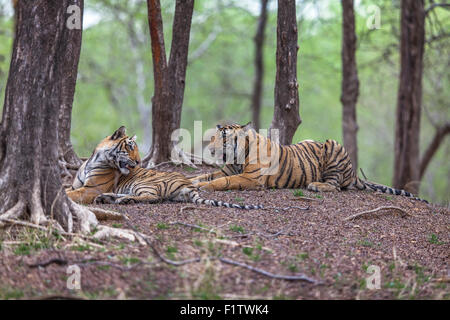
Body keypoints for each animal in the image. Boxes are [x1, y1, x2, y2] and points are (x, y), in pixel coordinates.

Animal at [67, 126, 264, 209]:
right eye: (130, 147)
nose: (138, 162)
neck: (95, 158)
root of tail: (189, 185)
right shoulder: (78, 185)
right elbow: (68, 189)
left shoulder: (91, 188)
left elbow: (71, 194)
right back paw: (107, 198)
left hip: (143, 184)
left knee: (152, 197)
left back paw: (121, 200)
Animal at [190, 121, 428, 204]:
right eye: (213, 137)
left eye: (223, 137)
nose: (210, 149)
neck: (238, 156)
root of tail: (353, 173)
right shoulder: (226, 170)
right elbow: (204, 175)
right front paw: (192, 181)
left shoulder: (250, 178)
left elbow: (223, 182)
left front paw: (204, 187)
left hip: (333, 145)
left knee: (335, 186)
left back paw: (316, 185)